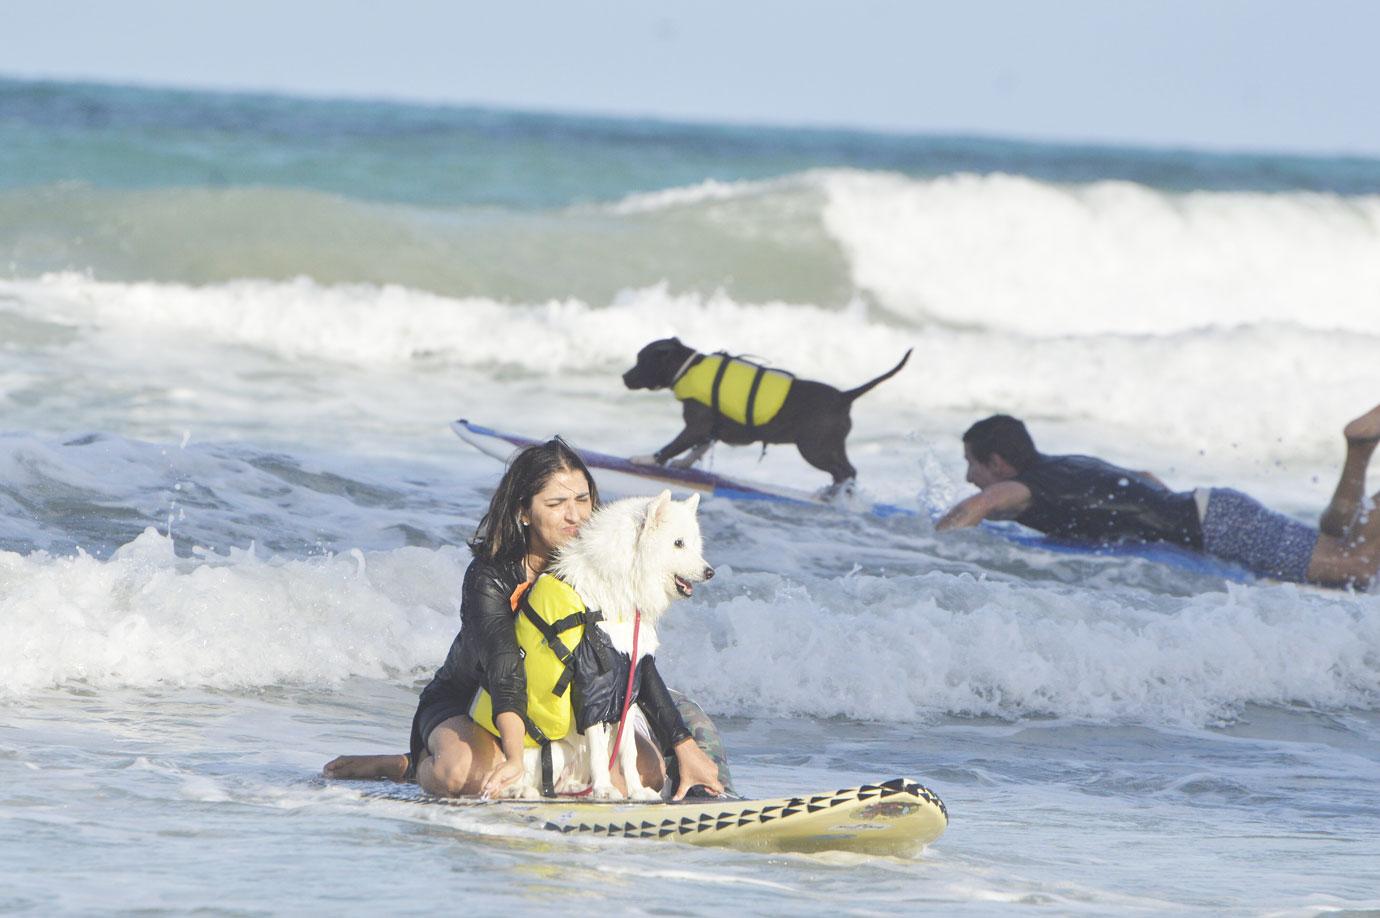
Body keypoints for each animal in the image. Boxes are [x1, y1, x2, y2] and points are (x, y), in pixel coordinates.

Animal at [513, 491, 717, 800]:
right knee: (524, 782)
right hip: (553, 751)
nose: (710, 572)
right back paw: (529, 792)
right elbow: (600, 751)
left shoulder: (628, 688)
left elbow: (627, 751)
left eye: (694, 543)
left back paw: (576, 788)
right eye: (678, 543)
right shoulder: (592, 690)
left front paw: (636, 791)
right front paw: (604, 789)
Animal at [623, 338, 905, 485]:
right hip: (832, 444)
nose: (624, 376)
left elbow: (672, 446)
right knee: (849, 470)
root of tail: (844, 396)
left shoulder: (696, 426)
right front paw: (684, 463)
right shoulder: (710, 429)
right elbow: (699, 447)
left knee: (844, 472)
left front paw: (647, 459)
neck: (689, 367)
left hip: (814, 448)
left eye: (640, 360)